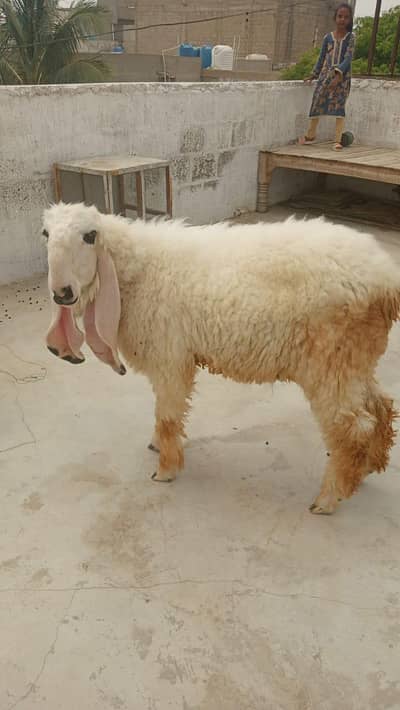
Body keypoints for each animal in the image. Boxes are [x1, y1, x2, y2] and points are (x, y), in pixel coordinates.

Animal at [43, 202, 400, 515]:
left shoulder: (170, 355)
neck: (138, 273)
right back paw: (369, 466)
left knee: (353, 427)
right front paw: (159, 445)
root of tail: (386, 279)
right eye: (45, 233)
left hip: (331, 360)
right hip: (356, 358)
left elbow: (167, 415)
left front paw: (166, 469)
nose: (62, 293)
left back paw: (328, 498)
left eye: (90, 235)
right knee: (381, 406)